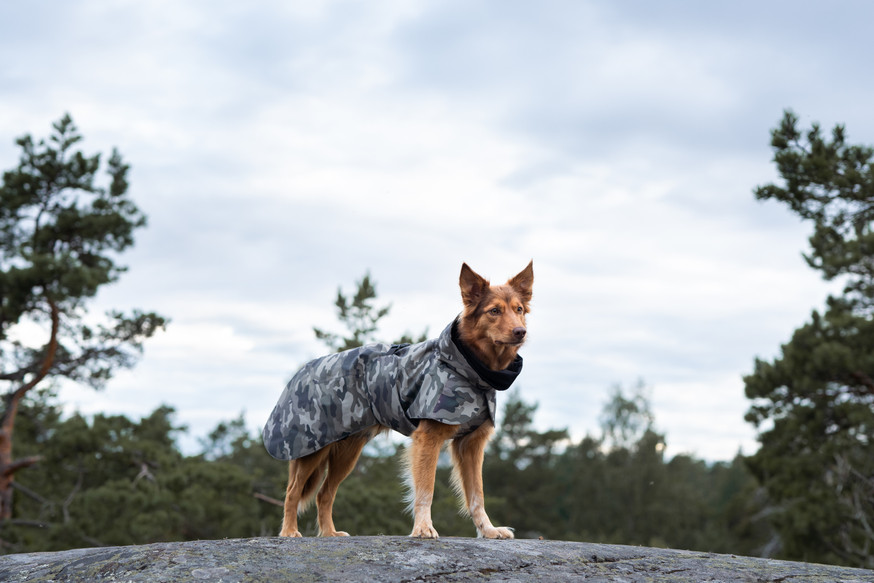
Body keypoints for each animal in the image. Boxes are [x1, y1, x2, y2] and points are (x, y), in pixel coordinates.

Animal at [258, 262, 532, 540]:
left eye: (518, 309)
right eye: (494, 311)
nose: (521, 332)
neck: (470, 368)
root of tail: (301, 371)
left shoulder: (471, 444)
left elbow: (477, 495)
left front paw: (488, 530)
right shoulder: (428, 437)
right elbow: (426, 489)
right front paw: (423, 527)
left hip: (346, 452)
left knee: (324, 493)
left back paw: (329, 533)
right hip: (311, 449)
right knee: (292, 492)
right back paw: (289, 531)